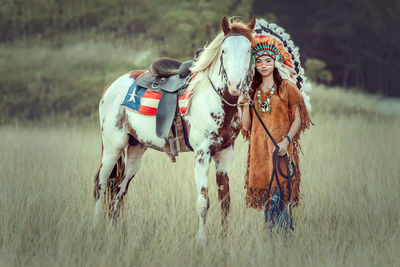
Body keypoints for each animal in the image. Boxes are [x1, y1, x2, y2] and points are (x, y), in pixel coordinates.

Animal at [93, 16, 256, 246]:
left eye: (249, 50)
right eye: (223, 51)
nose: (235, 85)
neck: (214, 98)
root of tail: (112, 86)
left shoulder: (225, 154)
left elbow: (226, 202)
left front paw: (225, 242)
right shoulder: (202, 154)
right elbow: (203, 201)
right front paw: (201, 243)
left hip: (135, 153)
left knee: (118, 191)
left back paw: (112, 233)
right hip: (112, 149)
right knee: (100, 185)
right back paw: (95, 229)